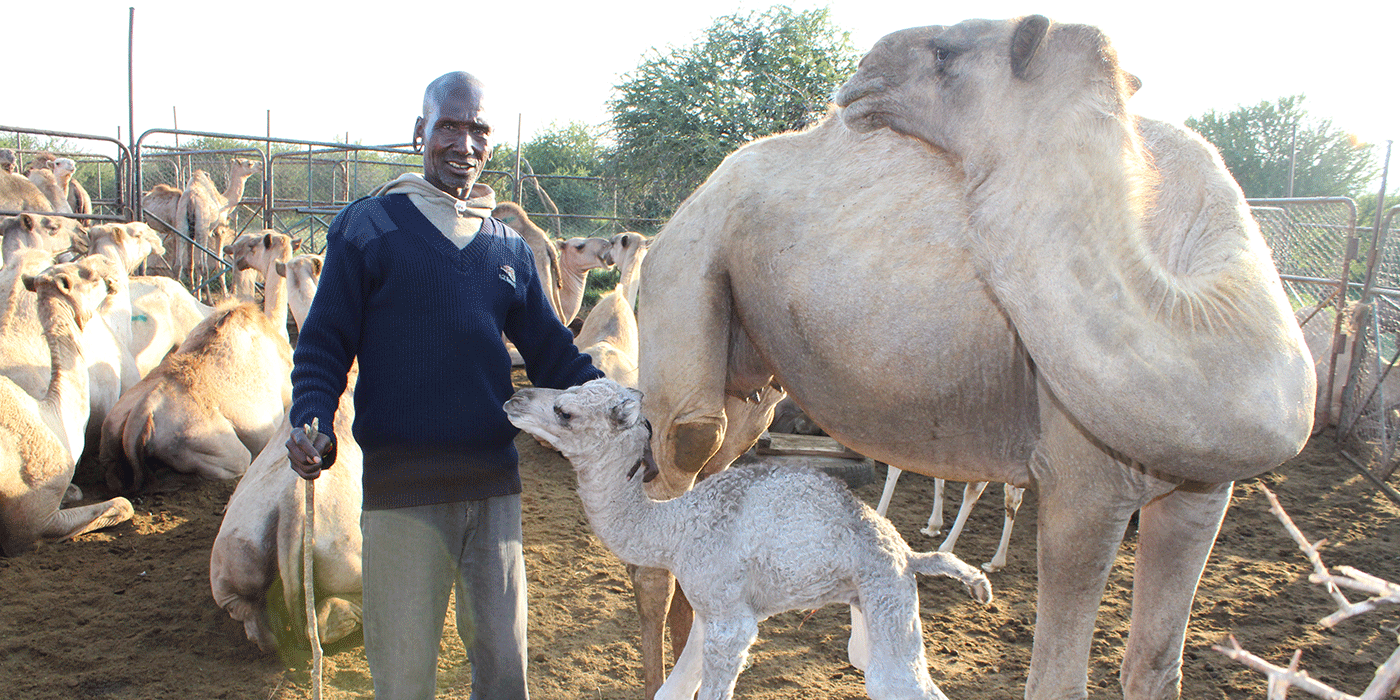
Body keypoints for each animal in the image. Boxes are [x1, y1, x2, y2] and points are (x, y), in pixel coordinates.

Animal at [501, 378, 985, 700]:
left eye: (565, 411)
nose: (515, 397)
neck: (674, 529)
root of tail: (907, 555)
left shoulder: (731, 623)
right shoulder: (709, 612)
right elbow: (671, 690)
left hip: (887, 594)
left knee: (897, 681)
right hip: (869, 602)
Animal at [635, 15, 1310, 700]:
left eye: (945, 51)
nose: (866, 65)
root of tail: (690, 199)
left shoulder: (1203, 494)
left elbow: (1154, 664)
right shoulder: (1083, 482)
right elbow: (1057, 681)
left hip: (751, 364)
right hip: (688, 256)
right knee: (687, 446)